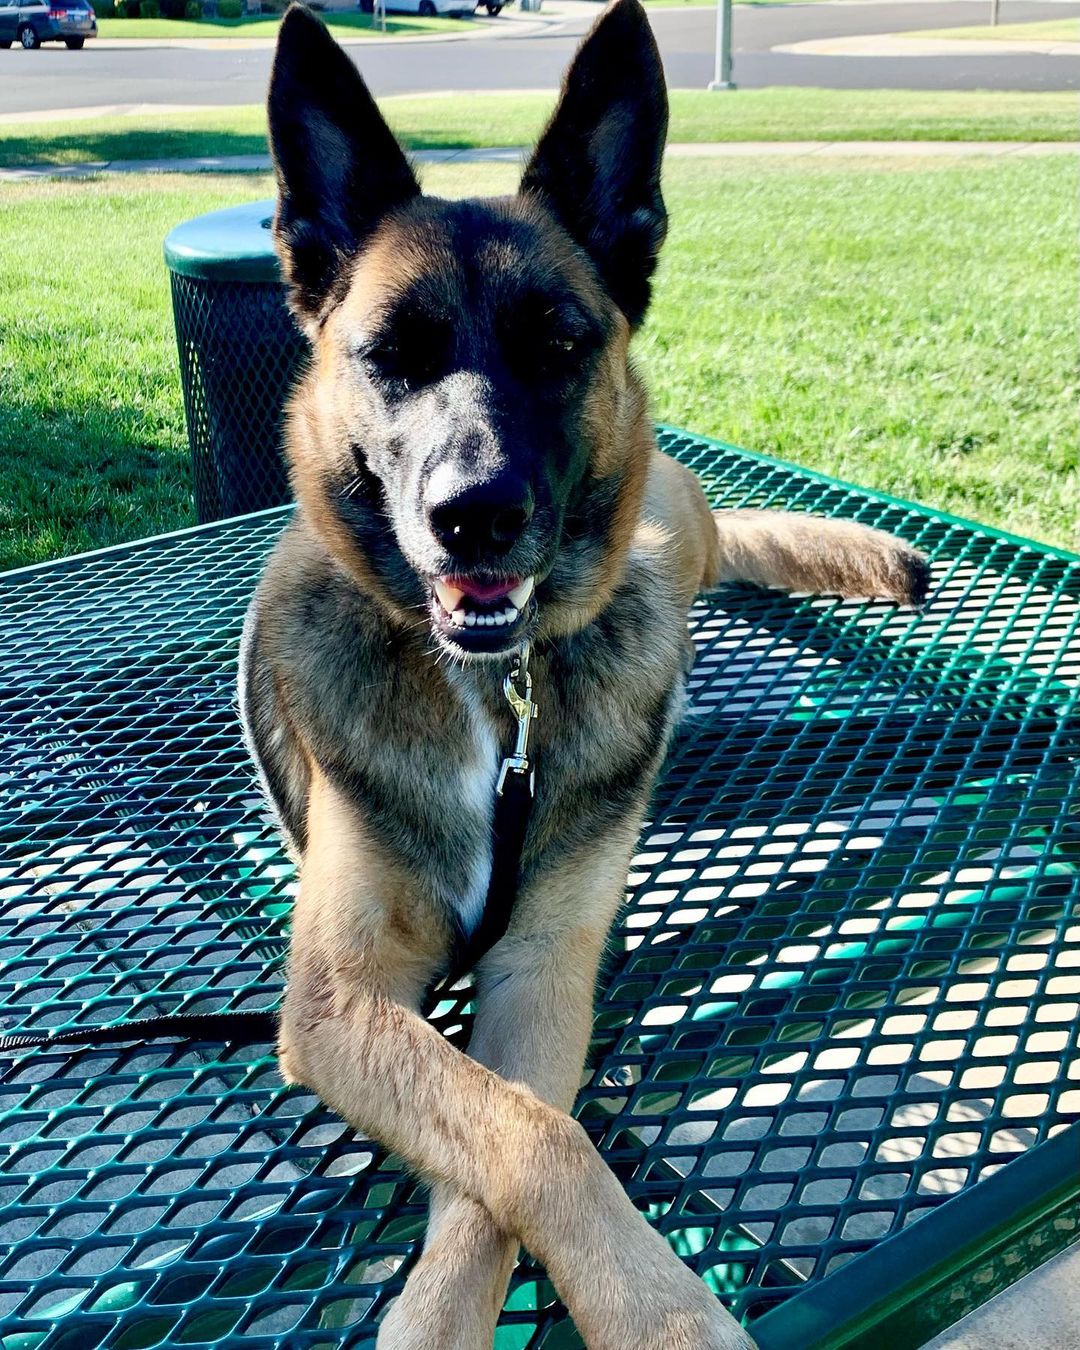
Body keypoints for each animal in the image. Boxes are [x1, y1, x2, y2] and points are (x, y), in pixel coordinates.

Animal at [240, 5, 934, 1344]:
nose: (474, 516)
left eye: (559, 344)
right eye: (390, 356)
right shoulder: (342, 1001)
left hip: (668, 550)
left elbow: (537, 1136)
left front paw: (658, 1313)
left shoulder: (540, 972)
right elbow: (519, 1138)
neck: (492, 698)